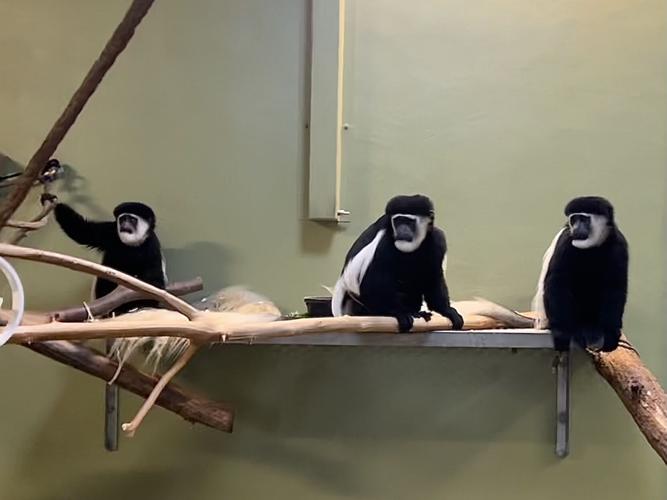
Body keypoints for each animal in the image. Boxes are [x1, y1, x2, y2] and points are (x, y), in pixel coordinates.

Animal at [332, 194, 464, 333]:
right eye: (398, 221)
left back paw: (416, 312)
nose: (401, 230)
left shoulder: (437, 242)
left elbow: (433, 279)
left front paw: (448, 311)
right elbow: (373, 283)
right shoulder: (384, 245)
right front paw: (399, 313)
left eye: (409, 222)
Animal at [532, 196, 629, 353]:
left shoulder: (619, 244)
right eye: (574, 219)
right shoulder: (566, 241)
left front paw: (611, 333)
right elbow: (557, 281)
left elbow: (615, 287)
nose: (576, 228)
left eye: (583, 219)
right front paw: (562, 333)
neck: (592, 247)